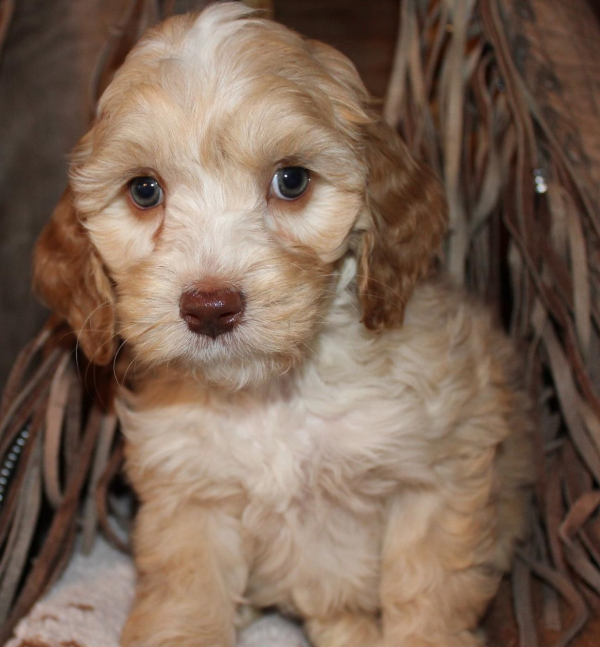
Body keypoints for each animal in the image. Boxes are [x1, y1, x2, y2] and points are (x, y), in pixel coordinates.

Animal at [34, 2, 536, 644]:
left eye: (291, 180)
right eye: (144, 190)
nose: (210, 307)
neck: (272, 395)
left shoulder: (438, 471)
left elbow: (427, 592)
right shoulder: (189, 494)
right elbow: (186, 599)